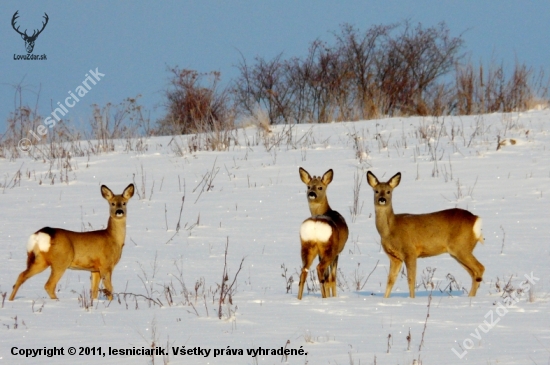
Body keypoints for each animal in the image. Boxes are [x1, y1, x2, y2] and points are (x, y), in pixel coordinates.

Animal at [298, 168, 350, 298]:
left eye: (320, 187)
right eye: (309, 186)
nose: (311, 193)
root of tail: (315, 224)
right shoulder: (337, 252)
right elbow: (332, 279)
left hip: (307, 246)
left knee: (304, 271)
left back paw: (299, 299)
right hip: (329, 249)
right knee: (320, 269)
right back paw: (325, 298)